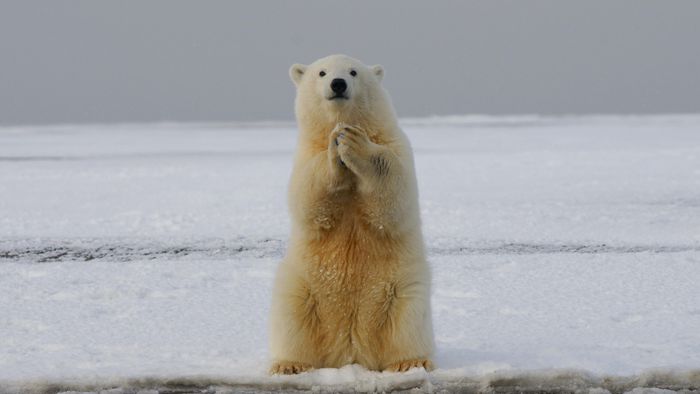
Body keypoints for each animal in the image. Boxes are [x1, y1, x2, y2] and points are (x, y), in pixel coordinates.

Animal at [268, 53, 432, 374]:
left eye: (354, 71)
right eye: (322, 72)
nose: (338, 83)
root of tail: (351, 352)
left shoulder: (395, 145)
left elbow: (394, 194)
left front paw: (354, 142)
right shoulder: (305, 154)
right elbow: (308, 198)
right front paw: (336, 148)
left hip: (401, 289)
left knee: (408, 322)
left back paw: (409, 362)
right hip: (303, 288)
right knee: (292, 318)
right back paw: (289, 365)